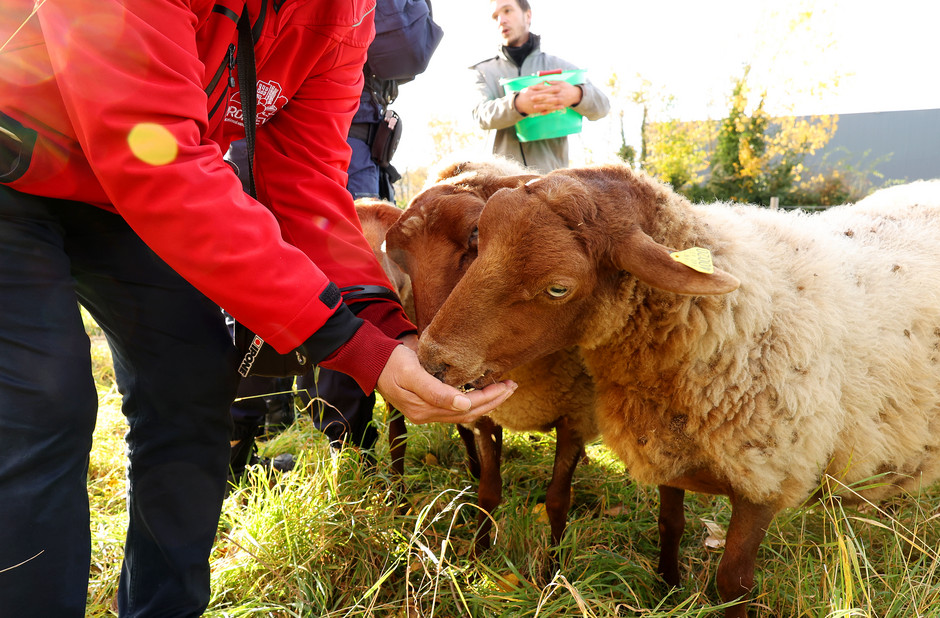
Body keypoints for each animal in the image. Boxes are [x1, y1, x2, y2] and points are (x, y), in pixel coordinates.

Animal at [384, 160, 600, 552]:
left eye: (476, 233)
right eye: (399, 257)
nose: (432, 365)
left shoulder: (576, 414)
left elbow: (558, 502)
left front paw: (555, 560)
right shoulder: (486, 414)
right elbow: (489, 491)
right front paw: (482, 551)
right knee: (407, 436)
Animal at [416, 164, 940, 616]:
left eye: (558, 288)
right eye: (480, 242)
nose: (432, 360)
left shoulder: (768, 471)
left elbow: (734, 581)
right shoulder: (664, 444)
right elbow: (670, 525)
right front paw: (667, 589)